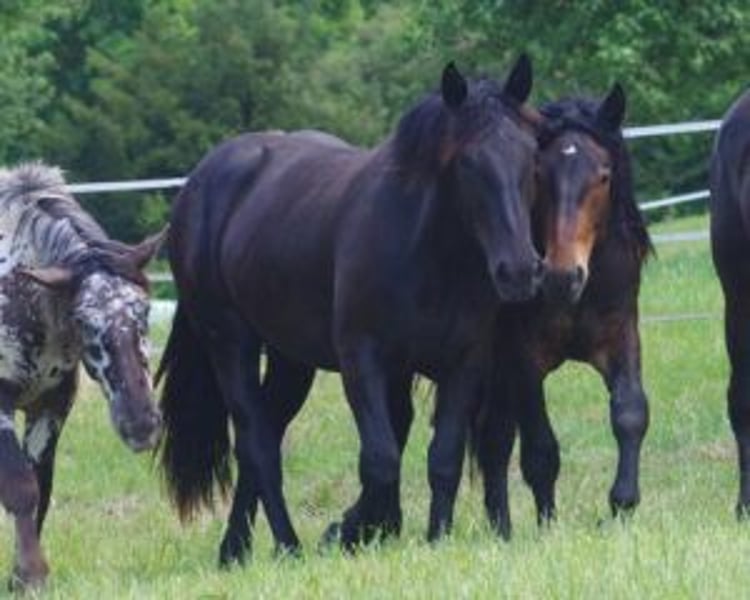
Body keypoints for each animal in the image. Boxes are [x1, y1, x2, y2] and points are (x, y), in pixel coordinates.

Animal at [0, 163, 164, 590]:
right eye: (83, 321)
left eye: (143, 311)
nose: (141, 425)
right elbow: (20, 486)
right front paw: (32, 573)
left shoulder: (52, 405)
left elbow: (40, 486)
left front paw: (20, 576)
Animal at [157, 55, 543, 566]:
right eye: (467, 162)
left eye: (530, 156)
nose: (518, 270)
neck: (426, 251)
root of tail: (199, 184)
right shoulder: (364, 361)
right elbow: (380, 461)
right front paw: (350, 531)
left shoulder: (463, 364)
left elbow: (443, 458)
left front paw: (432, 536)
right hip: (229, 341)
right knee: (257, 445)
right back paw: (287, 545)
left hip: (290, 360)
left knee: (266, 435)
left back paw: (235, 549)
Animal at [470, 85, 653, 538]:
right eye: (538, 175)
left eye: (603, 176)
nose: (560, 275)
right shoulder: (523, 360)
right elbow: (540, 449)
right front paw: (547, 526)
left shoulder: (622, 337)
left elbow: (630, 413)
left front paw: (621, 504)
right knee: (494, 441)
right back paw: (502, 529)